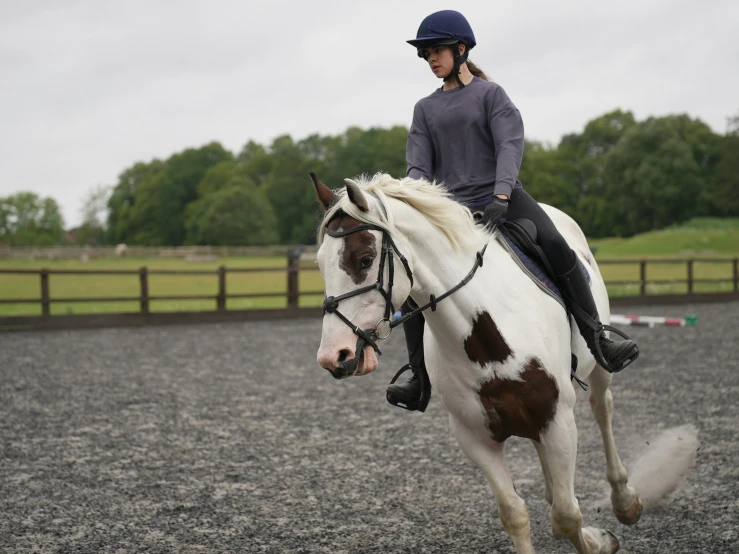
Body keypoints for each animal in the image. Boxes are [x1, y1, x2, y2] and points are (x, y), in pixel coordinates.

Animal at [310, 172, 640, 552]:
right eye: (320, 264)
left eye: (365, 259)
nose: (334, 356)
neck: (487, 337)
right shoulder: (475, 435)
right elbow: (515, 513)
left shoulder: (557, 418)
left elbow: (568, 515)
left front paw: (598, 539)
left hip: (598, 371)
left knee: (602, 409)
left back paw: (625, 500)